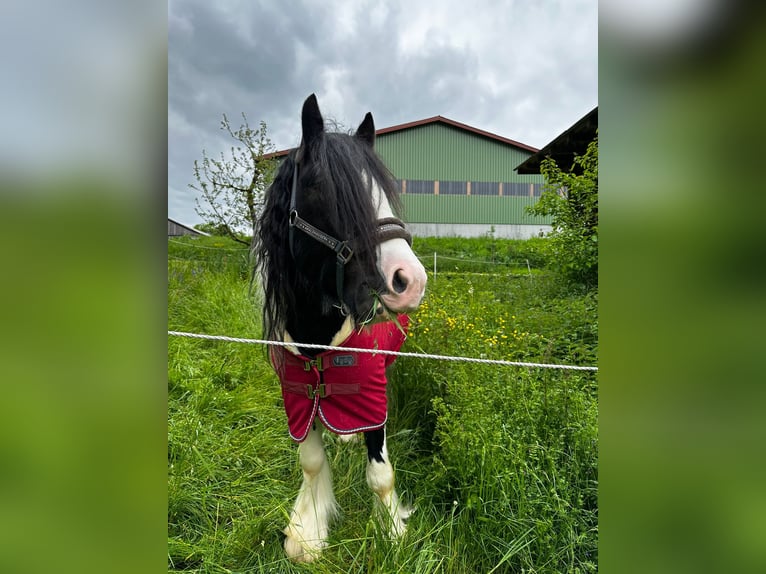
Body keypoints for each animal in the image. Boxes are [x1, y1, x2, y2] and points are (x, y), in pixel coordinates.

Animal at [255, 93, 428, 564]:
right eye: (325, 189)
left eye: (386, 192)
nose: (410, 280)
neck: (318, 336)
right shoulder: (297, 395)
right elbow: (312, 460)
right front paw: (308, 530)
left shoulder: (370, 391)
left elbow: (381, 472)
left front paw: (391, 532)